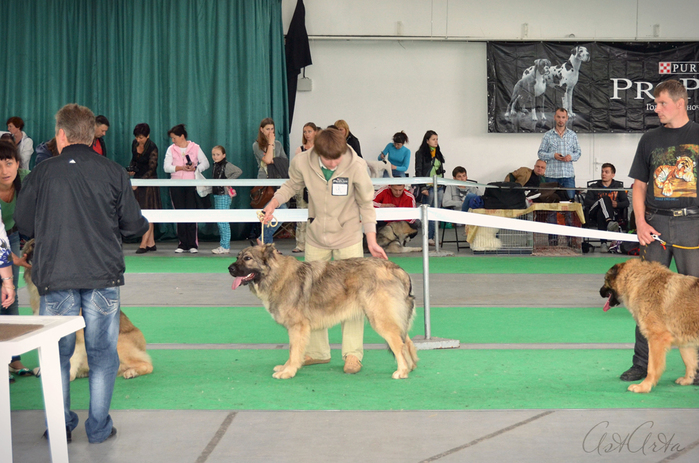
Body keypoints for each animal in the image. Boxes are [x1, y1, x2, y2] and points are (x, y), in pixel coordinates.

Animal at [21, 239, 153, 380]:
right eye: (32, 246)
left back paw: (131, 372)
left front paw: (67, 375)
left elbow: (72, 354)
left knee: (147, 364)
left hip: (117, 342)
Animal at [230, 245, 418, 378]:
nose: (229, 269)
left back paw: (402, 371)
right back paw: (410, 367)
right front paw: (286, 367)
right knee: (407, 341)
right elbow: (293, 351)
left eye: (247, 258)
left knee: (399, 344)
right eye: (238, 257)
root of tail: (393, 267)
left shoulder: (297, 327)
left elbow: (293, 350)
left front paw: (288, 372)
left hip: (379, 319)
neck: (276, 275)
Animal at [600, 260, 699, 394]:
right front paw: (688, 380)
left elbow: (651, 368)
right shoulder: (684, 340)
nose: (600, 292)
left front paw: (644, 386)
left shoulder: (656, 338)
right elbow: (689, 362)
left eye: (605, 280)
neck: (638, 281)